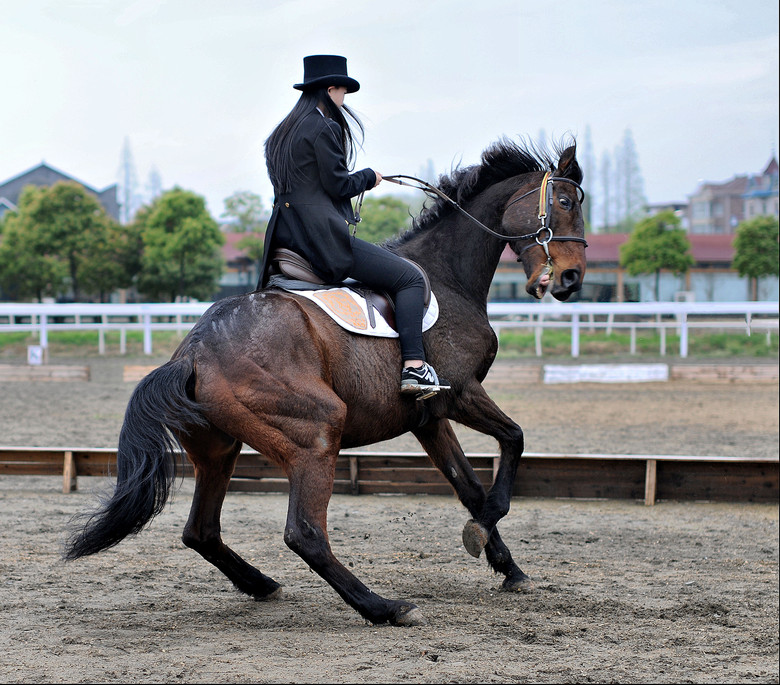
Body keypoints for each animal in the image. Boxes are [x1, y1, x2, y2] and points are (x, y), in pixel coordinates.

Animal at [67, 138, 588, 624]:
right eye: (564, 201)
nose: (571, 278)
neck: (447, 277)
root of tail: (193, 351)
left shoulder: (429, 418)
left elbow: (470, 488)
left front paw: (508, 567)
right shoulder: (461, 393)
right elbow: (514, 440)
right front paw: (483, 532)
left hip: (218, 450)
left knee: (201, 531)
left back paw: (262, 585)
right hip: (317, 433)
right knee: (305, 533)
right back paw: (384, 607)